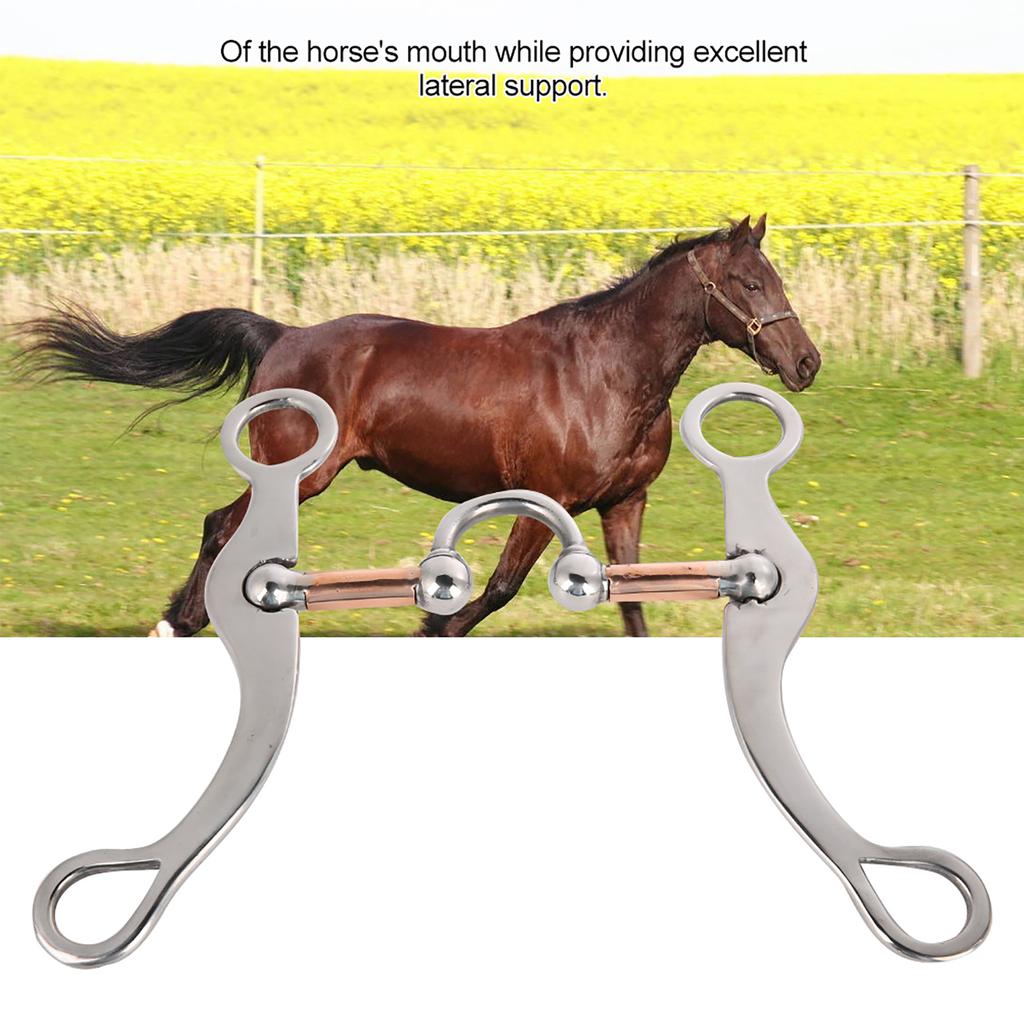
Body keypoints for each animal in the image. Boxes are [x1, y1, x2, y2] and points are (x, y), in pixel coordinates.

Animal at [17, 214, 820, 637]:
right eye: (750, 283)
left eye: (778, 280)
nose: (806, 362)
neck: (605, 374)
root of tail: (283, 335)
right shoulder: (545, 500)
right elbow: (496, 589)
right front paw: (433, 625)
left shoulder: (625, 503)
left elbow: (630, 601)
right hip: (301, 474)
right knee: (221, 526)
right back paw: (177, 623)